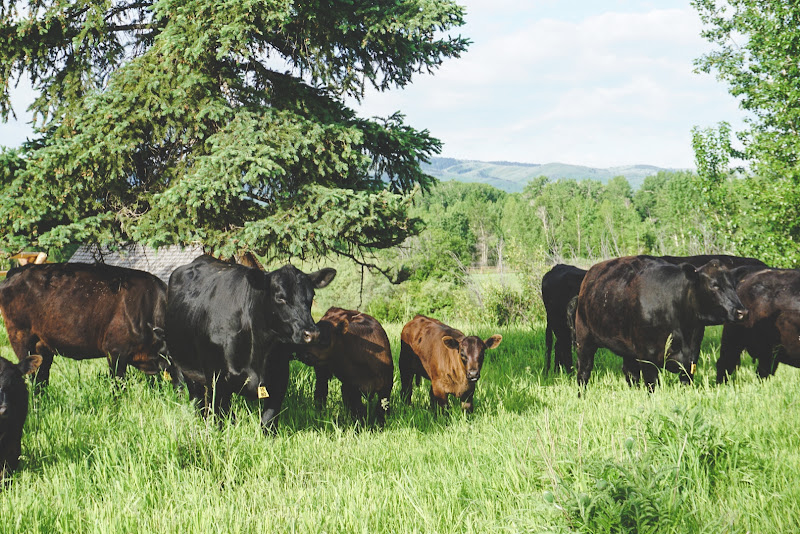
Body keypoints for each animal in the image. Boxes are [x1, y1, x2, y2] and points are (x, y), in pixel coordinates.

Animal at [0, 263, 169, 386]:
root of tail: (17, 271)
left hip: (42, 347)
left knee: (41, 379)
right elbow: (118, 386)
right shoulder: (115, 352)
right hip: (21, 338)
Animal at [165, 255, 336, 433]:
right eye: (280, 297)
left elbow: (268, 421)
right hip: (185, 366)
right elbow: (221, 418)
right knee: (197, 399)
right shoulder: (216, 378)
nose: (312, 333)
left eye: (311, 296)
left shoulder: (280, 377)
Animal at [575, 255, 747, 390]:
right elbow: (652, 386)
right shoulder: (647, 357)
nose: (742, 312)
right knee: (584, 371)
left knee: (630, 373)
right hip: (584, 339)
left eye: (734, 285)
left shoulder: (691, 358)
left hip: (627, 348)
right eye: (714, 285)